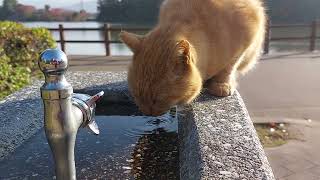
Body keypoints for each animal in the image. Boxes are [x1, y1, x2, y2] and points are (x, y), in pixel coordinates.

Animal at [119, 0, 264, 115]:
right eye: (136, 95)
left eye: (158, 100)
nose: (147, 113)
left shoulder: (246, 39)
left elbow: (229, 67)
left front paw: (222, 84)